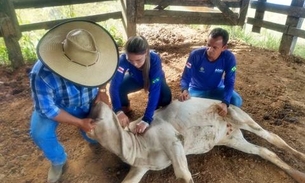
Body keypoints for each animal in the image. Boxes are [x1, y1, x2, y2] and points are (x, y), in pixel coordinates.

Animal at [86, 97, 304, 183]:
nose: (93, 104)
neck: (135, 148)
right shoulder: (141, 167)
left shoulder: (174, 141)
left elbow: (183, 175)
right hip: (232, 139)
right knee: (263, 151)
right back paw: (298, 175)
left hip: (238, 116)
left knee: (272, 136)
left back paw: (300, 157)